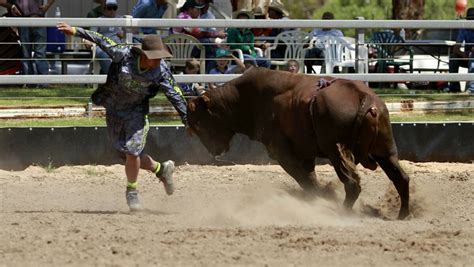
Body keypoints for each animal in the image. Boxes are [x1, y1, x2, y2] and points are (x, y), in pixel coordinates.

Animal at [187, 68, 410, 220]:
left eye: (198, 124)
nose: (213, 151)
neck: (246, 99)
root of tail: (365, 98)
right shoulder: (306, 153)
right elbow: (309, 177)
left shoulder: (282, 153)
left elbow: (306, 181)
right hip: (386, 151)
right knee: (401, 178)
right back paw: (404, 214)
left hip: (336, 152)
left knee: (352, 184)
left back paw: (342, 212)